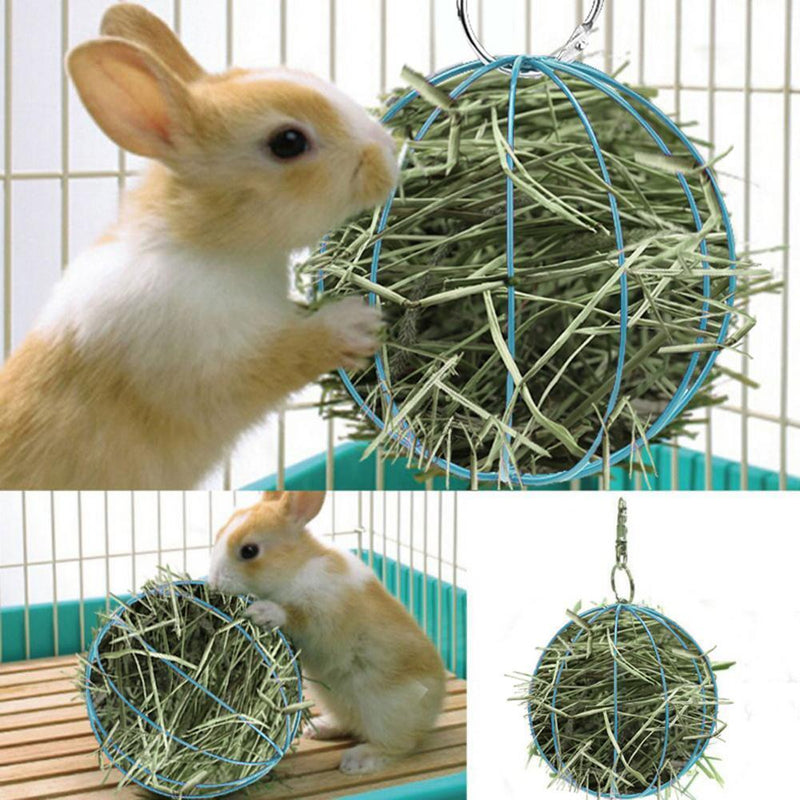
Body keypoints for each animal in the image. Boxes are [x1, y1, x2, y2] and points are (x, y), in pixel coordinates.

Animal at [0, 3, 397, 489]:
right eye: (288, 142)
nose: (388, 152)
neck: (205, 246)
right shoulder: (215, 362)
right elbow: (288, 354)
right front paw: (358, 321)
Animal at [208, 491, 447, 775]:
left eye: (249, 551)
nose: (213, 581)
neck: (296, 568)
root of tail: (434, 710)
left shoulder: (322, 615)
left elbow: (294, 616)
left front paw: (261, 612)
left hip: (385, 710)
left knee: (401, 745)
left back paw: (356, 761)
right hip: (337, 701)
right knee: (351, 724)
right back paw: (318, 729)